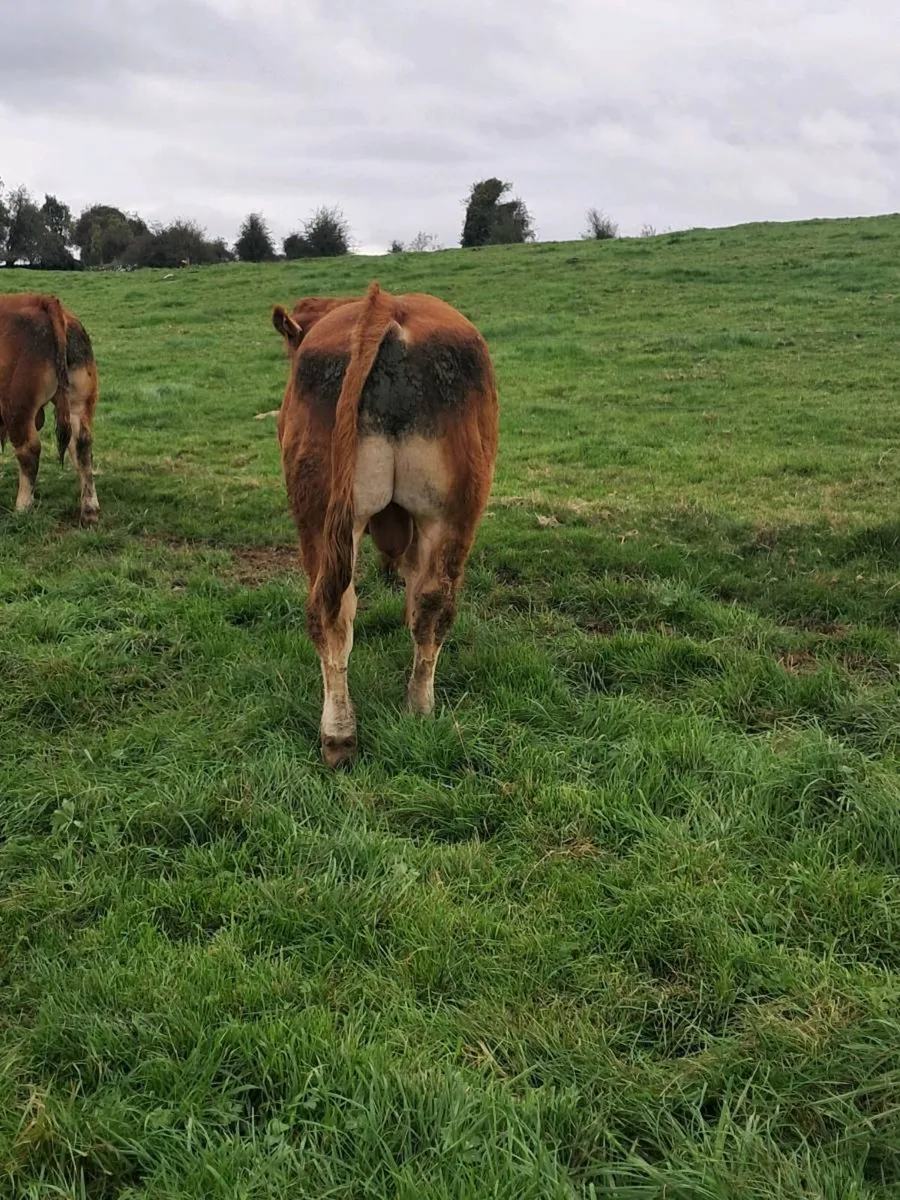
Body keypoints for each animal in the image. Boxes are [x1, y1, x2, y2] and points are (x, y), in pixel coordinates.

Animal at [0, 293, 100, 524]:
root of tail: (44, 300)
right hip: (78, 404)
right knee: (82, 446)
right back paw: (90, 511)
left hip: (17, 410)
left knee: (29, 452)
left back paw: (22, 507)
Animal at [272, 281, 499, 767]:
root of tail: (389, 309)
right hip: (448, 514)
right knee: (429, 602)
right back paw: (410, 710)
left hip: (326, 518)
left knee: (336, 609)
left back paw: (342, 733)